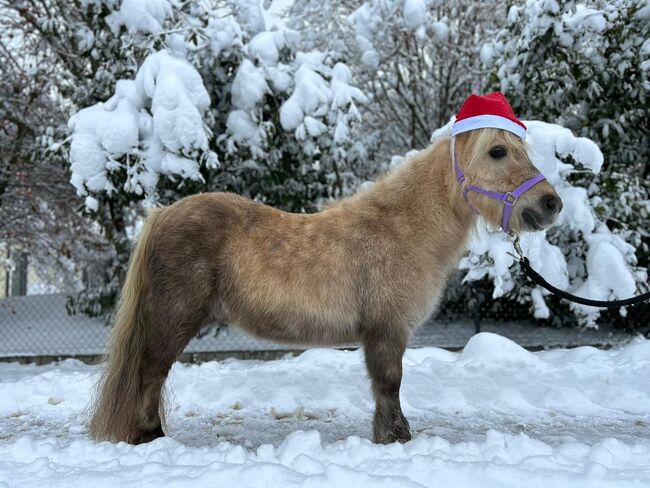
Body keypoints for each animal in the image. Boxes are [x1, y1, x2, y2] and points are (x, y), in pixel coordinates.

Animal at [88, 127, 560, 446]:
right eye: (498, 151)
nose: (550, 204)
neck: (401, 229)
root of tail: (162, 214)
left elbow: (383, 388)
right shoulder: (387, 330)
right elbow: (390, 384)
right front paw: (397, 438)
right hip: (174, 321)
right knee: (151, 373)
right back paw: (150, 437)